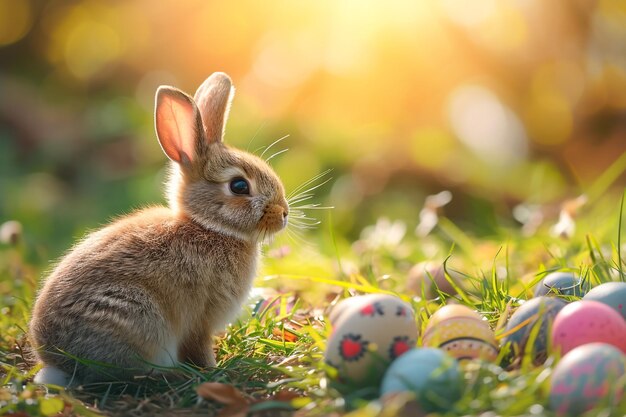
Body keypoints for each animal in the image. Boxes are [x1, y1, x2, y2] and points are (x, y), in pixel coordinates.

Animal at [30, 72, 288, 386]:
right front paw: (213, 371)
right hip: (136, 315)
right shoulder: (201, 318)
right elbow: (199, 347)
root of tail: (57, 363)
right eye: (239, 186)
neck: (209, 227)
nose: (284, 213)